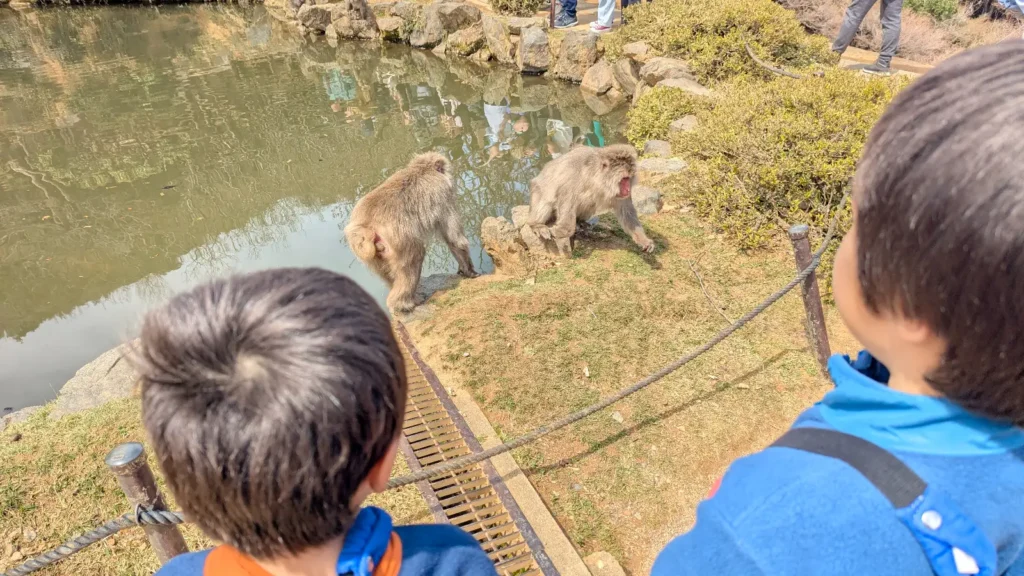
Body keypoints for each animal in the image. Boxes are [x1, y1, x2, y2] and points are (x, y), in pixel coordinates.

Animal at [344, 152, 478, 314]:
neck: (423, 168)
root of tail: (366, 226)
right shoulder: (444, 194)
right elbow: (455, 239)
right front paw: (469, 271)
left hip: (371, 255)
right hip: (400, 240)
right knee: (415, 255)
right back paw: (403, 304)